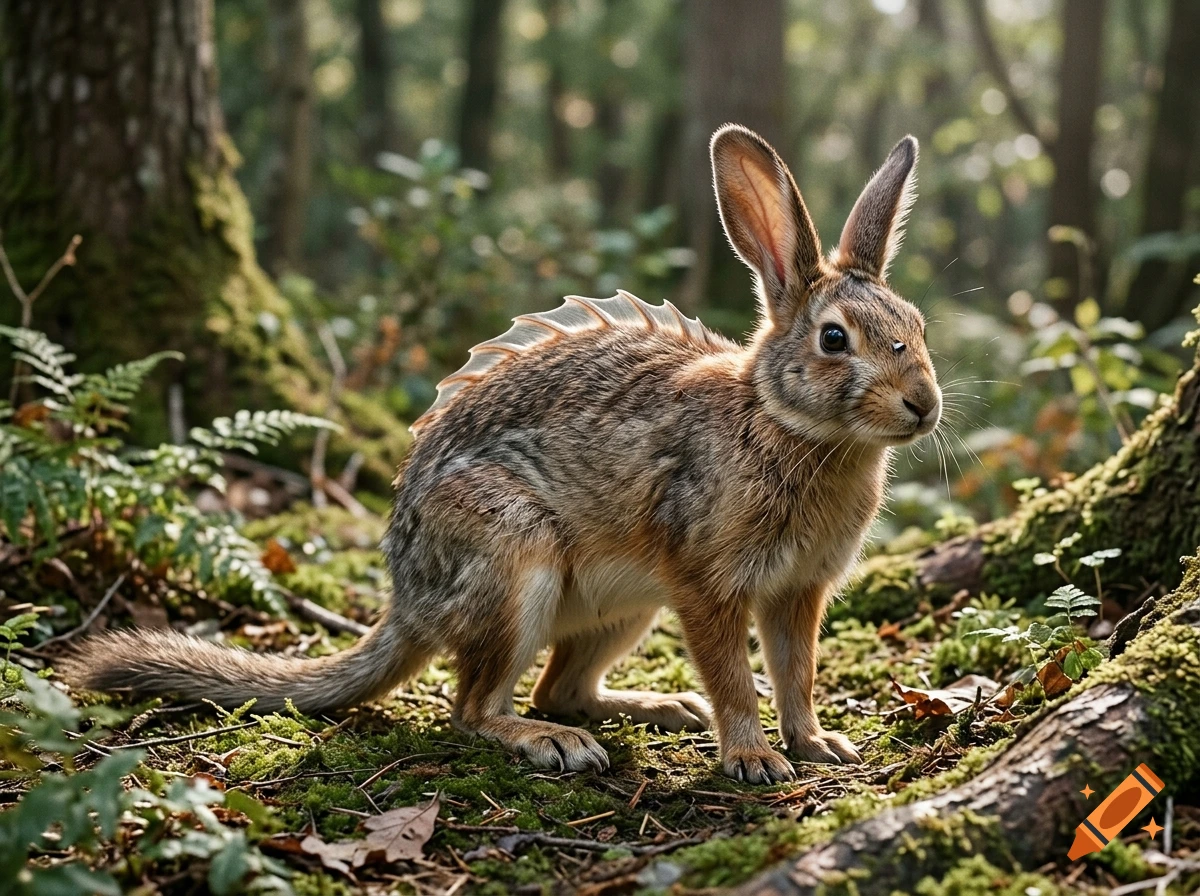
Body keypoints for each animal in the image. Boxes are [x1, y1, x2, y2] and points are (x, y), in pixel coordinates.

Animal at [64, 124, 940, 784]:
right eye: (835, 340)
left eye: (916, 323)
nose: (923, 405)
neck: (786, 424)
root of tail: (407, 601)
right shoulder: (704, 582)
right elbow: (733, 675)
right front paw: (753, 758)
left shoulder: (797, 590)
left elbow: (797, 674)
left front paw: (819, 745)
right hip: (516, 561)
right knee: (476, 708)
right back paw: (554, 744)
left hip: (626, 603)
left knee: (560, 687)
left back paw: (653, 710)